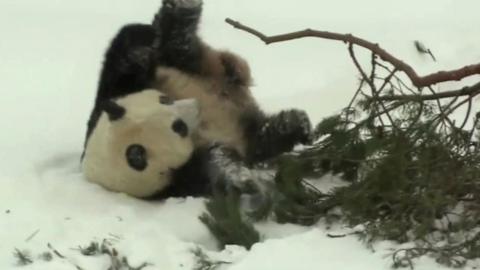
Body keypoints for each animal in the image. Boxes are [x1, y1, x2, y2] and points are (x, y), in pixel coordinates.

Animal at [80, 0, 314, 198]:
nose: (196, 105)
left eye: (165, 99)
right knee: (261, 136)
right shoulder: (180, 179)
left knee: (177, 48)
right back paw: (291, 125)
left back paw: (180, 11)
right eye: (179, 127)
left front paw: (140, 56)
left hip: (198, 68)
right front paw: (242, 181)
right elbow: (219, 163)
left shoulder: (116, 90)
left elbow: (126, 48)